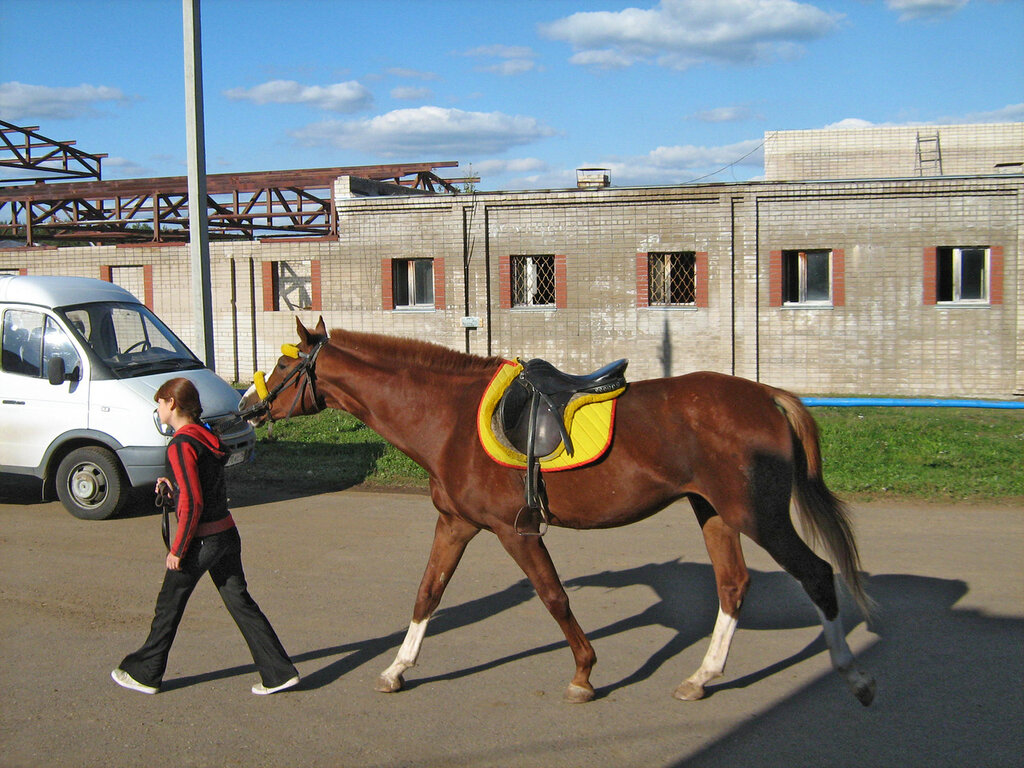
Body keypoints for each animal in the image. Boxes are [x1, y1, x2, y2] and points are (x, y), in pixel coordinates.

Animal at [239, 319, 872, 708]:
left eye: (284, 367)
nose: (246, 405)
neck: (449, 416)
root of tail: (769, 397)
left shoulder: (513, 531)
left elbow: (554, 598)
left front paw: (585, 674)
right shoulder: (456, 525)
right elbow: (427, 594)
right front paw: (398, 669)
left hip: (758, 516)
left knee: (817, 575)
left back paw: (853, 674)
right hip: (715, 513)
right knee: (734, 585)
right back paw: (701, 677)